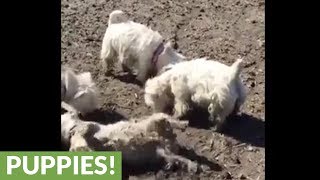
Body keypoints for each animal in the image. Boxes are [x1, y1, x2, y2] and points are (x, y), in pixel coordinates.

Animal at [60, 102, 210, 172]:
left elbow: (86, 128)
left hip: (155, 124)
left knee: (164, 118)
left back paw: (183, 124)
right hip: (163, 149)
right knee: (178, 157)